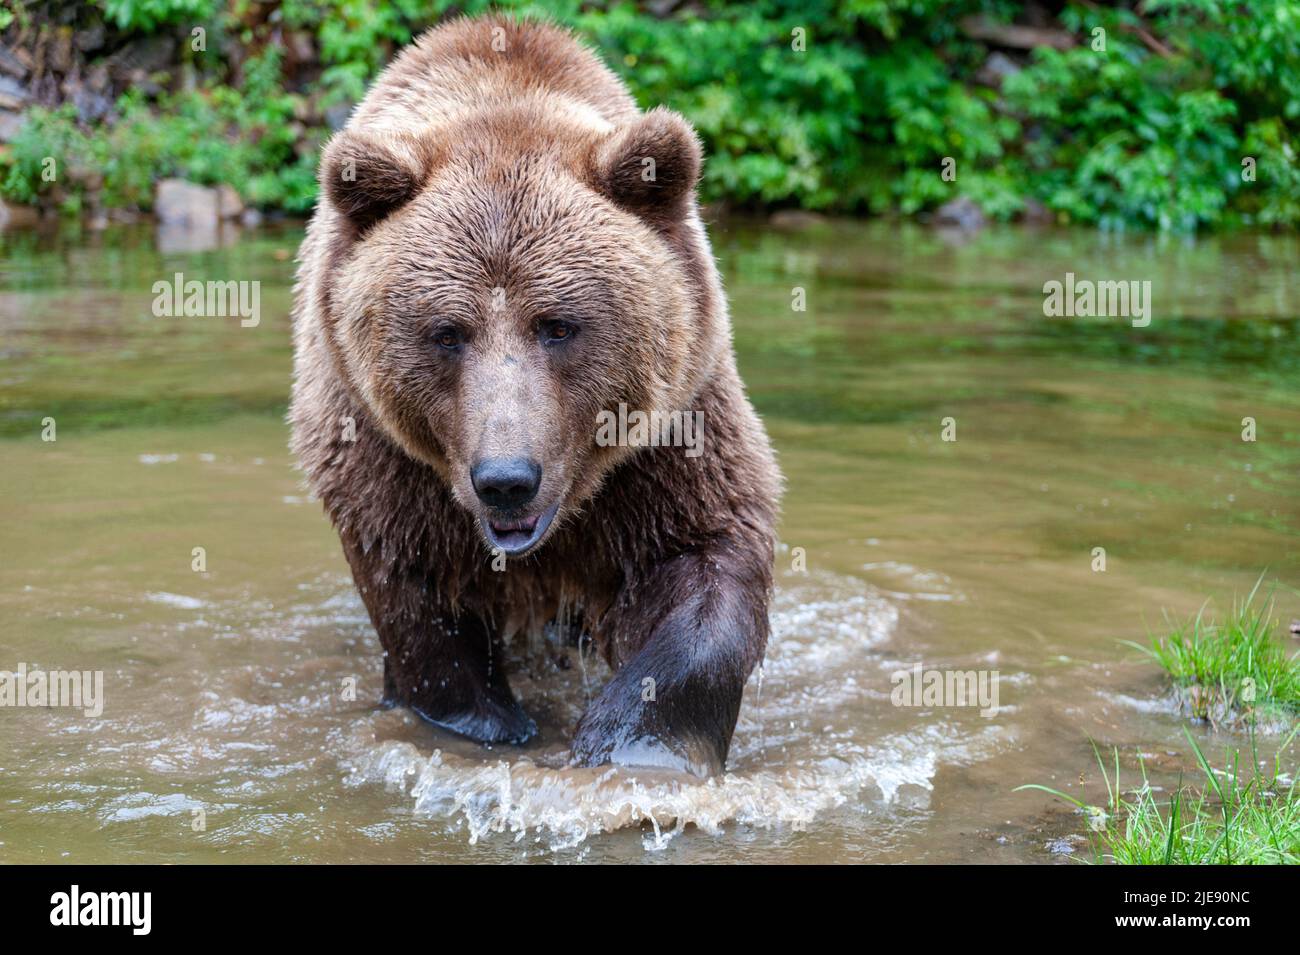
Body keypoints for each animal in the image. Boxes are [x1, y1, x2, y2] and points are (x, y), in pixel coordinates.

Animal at [290, 14, 781, 777]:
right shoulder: (380, 459)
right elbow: (420, 617)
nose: (506, 480)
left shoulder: (669, 441)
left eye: (557, 324)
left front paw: (632, 740)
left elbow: (708, 563)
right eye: (447, 331)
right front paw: (491, 723)